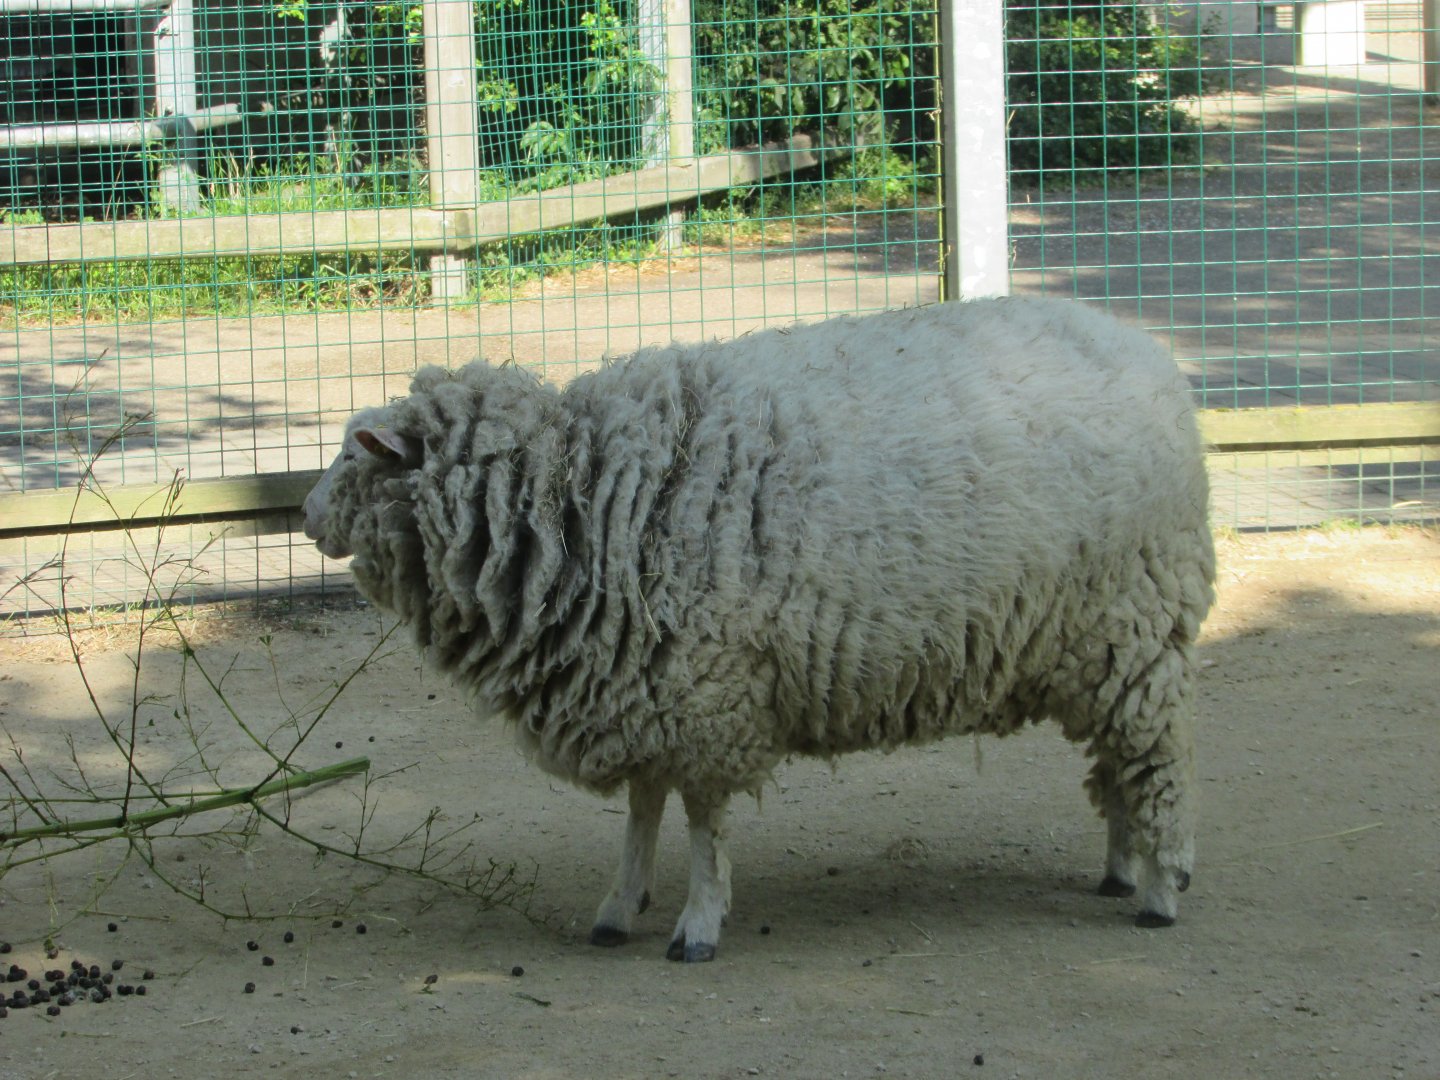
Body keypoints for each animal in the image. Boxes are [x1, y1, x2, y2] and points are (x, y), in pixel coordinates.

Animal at [302, 296, 1216, 962]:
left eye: (353, 452)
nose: (305, 516)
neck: (576, 496)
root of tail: (1151, 356)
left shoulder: (710, 694)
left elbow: (703, 825)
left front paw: (698, 925)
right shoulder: (645, 682)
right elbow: (642, 812)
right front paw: (618, 907)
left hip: (1136, 629)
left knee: (1159, 761)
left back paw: (1159, 889)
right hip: (1096, 647)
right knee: (1120, 765)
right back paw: (1119, 867)